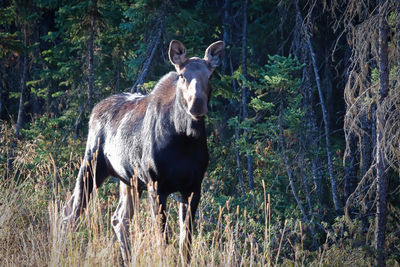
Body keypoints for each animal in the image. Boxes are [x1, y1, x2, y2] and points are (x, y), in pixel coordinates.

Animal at [62, 39, 225, 266]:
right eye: (182, 75)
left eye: (210, 76)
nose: (197, 104)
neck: (185, 139)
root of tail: (94, 110)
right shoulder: (156, 185)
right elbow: (163, 238)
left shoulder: (193, 187)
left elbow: (185, 241)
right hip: (91, 164)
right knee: (71, 212)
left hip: (128, 180)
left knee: (119, 218)